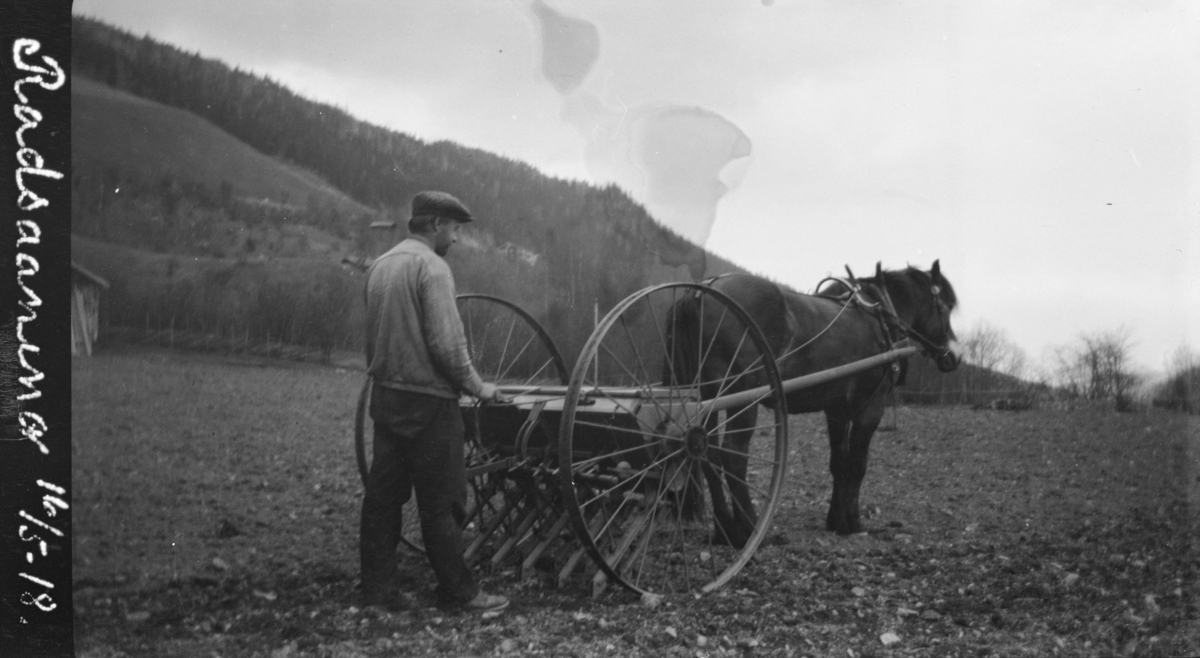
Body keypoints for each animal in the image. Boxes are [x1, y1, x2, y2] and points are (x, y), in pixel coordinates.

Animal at [667, 259, 955, 542]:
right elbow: (857, 465)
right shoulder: (870, 409)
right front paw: (854, 521)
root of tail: (700, 291)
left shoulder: (836, 410)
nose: (952, 357)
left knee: (707, 454)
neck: (880, 319)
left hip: (705, 398)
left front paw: (837, 521)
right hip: (741, 398)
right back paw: (750, 529)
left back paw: (725, 528)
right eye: (946, 307)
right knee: (733, 456)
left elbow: (839, 463)